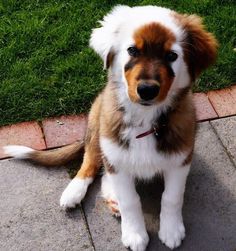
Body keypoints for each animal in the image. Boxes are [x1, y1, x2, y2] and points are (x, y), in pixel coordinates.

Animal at [4, 5, 218, 251]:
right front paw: (134, 233)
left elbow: (172, 197)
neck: (144, 118)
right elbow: (130, 200)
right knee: (91, 161)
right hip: (98, 125)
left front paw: (171, 230)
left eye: (172, 56)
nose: (147, 90)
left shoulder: (180, 159)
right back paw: (76, 192)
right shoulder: (116, 154)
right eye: (132, 50)